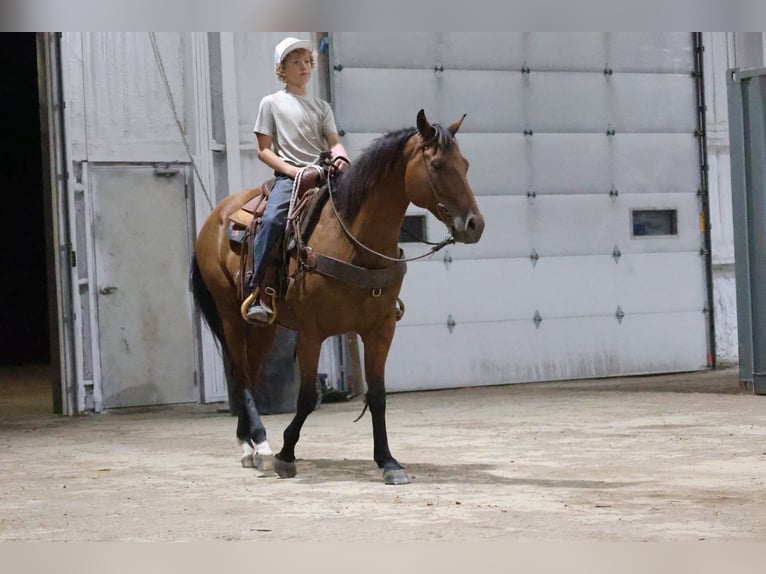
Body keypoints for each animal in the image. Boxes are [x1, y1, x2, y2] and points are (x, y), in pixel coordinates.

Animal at [190, 109, 484, 484]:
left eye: (465, 164)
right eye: (437, 165)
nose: (475, 224)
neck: (355, 244)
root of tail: (216, 216)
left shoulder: (380, 329)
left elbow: (378, 395)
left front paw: (388, 462)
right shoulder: (312, 332)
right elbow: (306, 397)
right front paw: (287, 455)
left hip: (264, 326)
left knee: (249, 372)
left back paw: (253, 444)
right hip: (229, 313)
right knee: (239, 374)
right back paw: (258, 446)